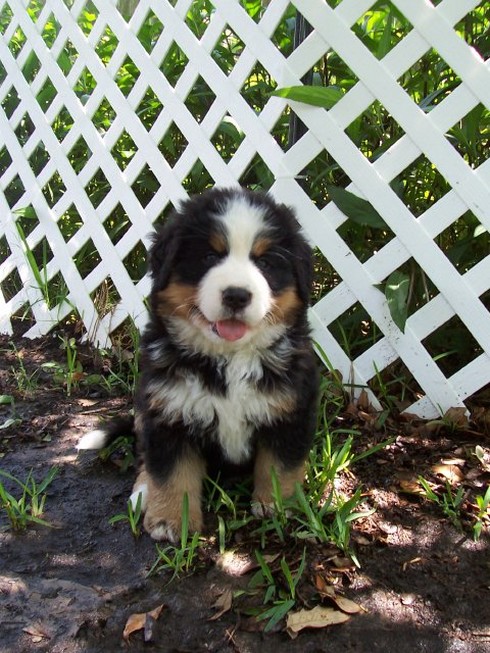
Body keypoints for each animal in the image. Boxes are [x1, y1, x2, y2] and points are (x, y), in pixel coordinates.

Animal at [77, 186, 318, 544]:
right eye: (209, 257)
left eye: (265, 262)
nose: (236, 295)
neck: (228, 359)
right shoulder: (167, 412)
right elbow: (171, 473)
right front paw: (169, 521)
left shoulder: (290, 411)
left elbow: (280, 465)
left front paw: (277, 504)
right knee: (145, 460)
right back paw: (143, 493)